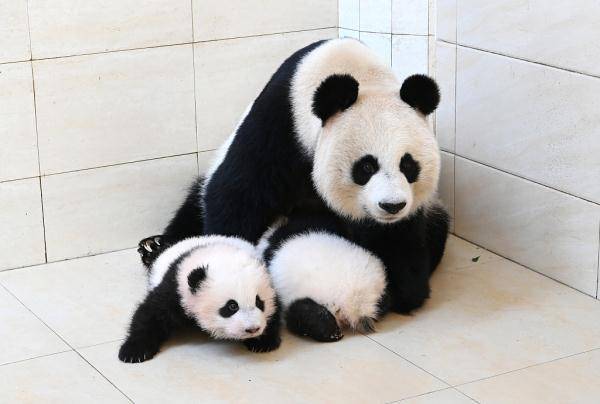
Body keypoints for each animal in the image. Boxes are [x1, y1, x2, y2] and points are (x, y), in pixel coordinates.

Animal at [156, 38, 450, 318]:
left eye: (409, 165)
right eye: (366, 167)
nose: (392, 206)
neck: (361, 76)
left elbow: (399, 236)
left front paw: (402, 289)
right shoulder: (280, 125)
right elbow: (239, 196)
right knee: (196, 200)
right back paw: (156, 245)